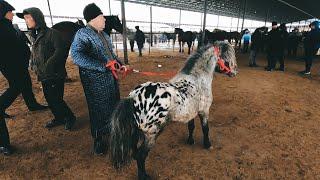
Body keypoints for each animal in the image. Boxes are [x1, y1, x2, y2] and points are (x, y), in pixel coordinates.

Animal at [110, 41, 238, 180]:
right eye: (229, 56)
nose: (235, 72)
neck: (198, 78)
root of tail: (133, 97)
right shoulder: (204, 111)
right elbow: (205, 129)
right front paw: (207, 145)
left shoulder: (190, 113)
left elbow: (191, 127)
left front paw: (190, 141)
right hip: (151, 134)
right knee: (140, 156)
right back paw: (144, 176)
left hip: (136, 131)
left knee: (135, 151)